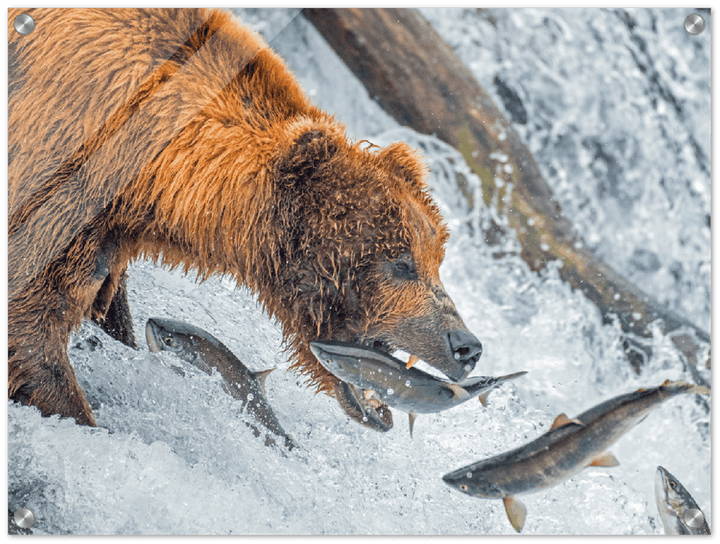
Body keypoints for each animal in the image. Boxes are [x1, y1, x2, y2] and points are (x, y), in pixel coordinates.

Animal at [7, 7, 483, 430]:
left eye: (436, 258)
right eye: (400, 263)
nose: (466, 345)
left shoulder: (108, 231)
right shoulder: (60, 179)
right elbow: (31, 328)